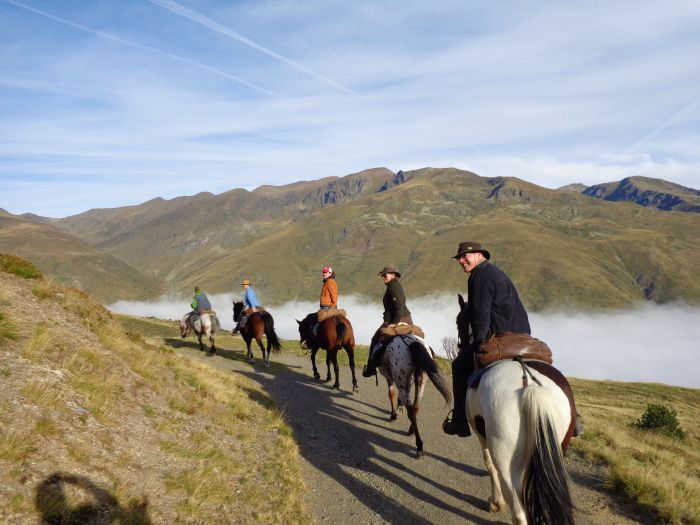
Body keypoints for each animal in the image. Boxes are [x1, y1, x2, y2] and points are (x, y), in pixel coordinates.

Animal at [454, 294, 576, 524]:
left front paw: (495, 503)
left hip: (506, 459)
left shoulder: (481, 435)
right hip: (558, 451)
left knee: (519, 511)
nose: (461, 344)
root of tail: (530, 386)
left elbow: (488, 464)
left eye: (459, 321)